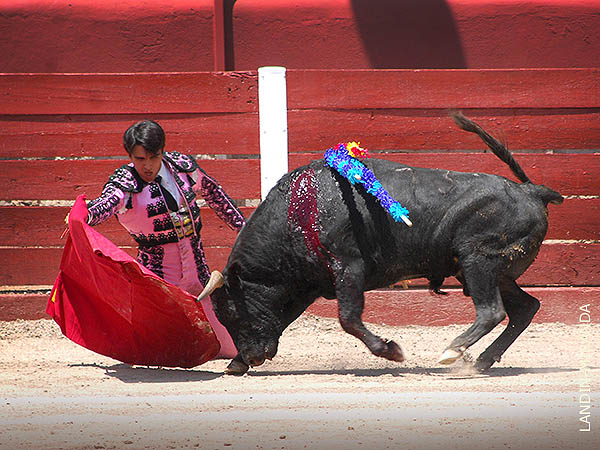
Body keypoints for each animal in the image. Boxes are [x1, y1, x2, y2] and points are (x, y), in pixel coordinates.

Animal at [197, 114, 564, 374]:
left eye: (231, 311)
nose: (252, 356)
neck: (299, 212)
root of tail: (532, 191)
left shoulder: (348, 267)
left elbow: (348, 318)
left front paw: (391, 350)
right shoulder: (308, 283)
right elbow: (288, 316)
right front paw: (236, 363)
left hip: (478, 261)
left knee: (491, 310)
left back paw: (452, 352)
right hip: (490, 271)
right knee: (524, 308)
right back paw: (482, 361)